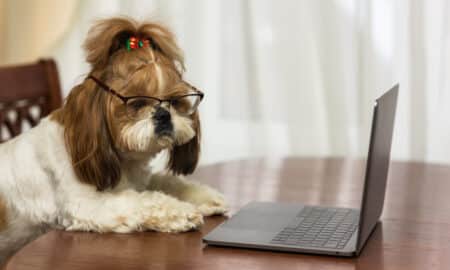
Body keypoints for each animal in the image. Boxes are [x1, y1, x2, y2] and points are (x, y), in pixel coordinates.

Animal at [0, 17, 227, 264]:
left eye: (176, 101)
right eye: (137, 103)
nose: (163, 114)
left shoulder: (140, 181)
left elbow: (166, 183)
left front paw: (202, 196)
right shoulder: (86, 204)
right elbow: (143, 201)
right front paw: (181, 211)